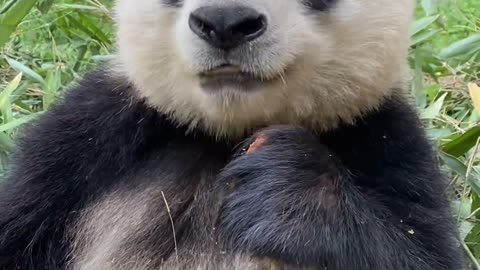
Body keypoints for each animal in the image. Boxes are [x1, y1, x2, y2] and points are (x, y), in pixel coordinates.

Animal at [0, 0, 464, 268]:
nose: (225, 21)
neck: (226, 131)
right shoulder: (87, 138)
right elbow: (19, 234)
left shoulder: (384, 138)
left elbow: (420, 251)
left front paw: (288, 188)